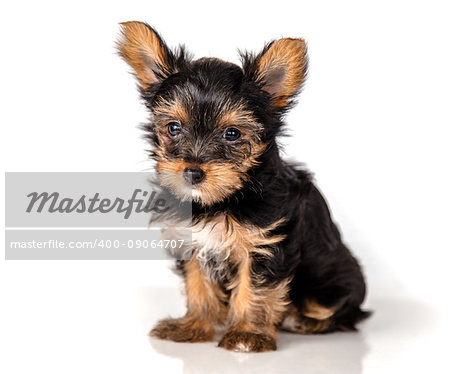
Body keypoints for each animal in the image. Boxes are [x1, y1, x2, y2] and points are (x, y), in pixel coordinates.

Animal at [117, 21, 370, 352]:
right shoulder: (191, 241)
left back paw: (305, 322)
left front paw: (248, 334)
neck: (222, 200)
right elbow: (198, 285)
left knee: (343, 312)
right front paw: (195, 325)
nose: (193, 172)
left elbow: (255, 289)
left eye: (232, 134)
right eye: (173, 128)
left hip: (332, 284)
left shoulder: (265, 246)